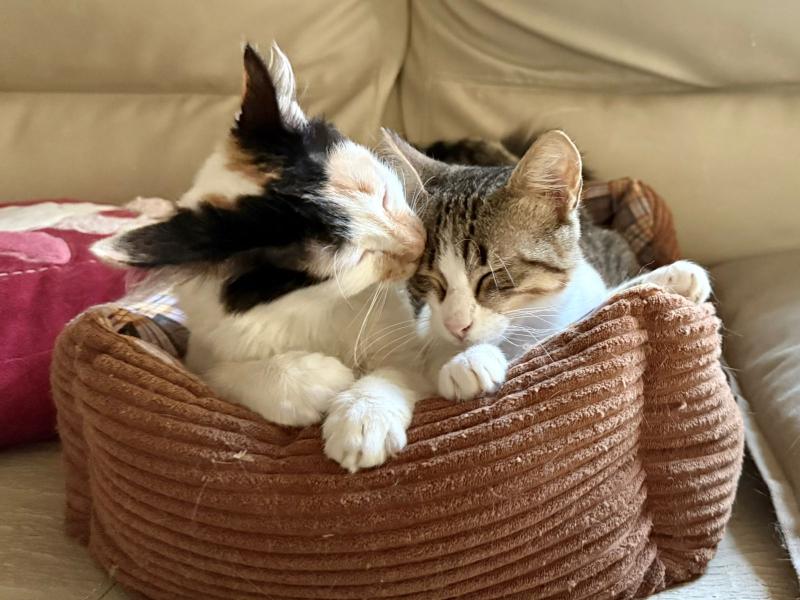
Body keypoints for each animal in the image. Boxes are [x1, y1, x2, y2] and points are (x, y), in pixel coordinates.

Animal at [93, 44, 435, 472]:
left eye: (382, 195)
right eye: (358, 258)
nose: (417, 243)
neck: (316, 305)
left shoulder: (411, 343)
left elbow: (400, 369)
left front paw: (363, 418)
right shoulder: (203, 353)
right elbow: (223, 375)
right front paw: (317, 381)